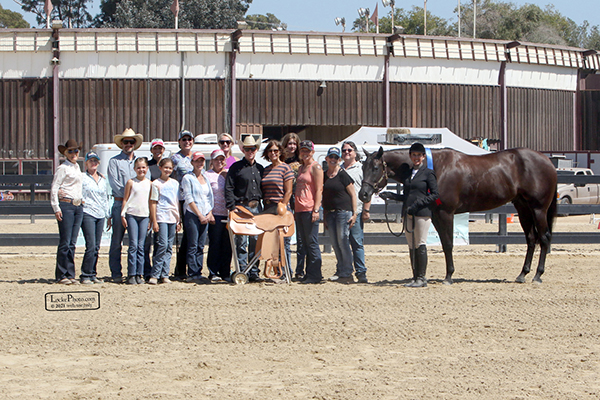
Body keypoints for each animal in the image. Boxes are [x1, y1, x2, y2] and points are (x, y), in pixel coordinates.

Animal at [356, 148, 556, 284]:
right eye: (363, 166)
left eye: (375, 167)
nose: (363, 194)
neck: (436, 168)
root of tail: (547, 161)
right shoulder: (436, 215)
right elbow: (441, 244)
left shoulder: (446, 213)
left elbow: (448, 244)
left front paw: (449, 276)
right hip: (523, 208)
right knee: (531, 239)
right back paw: (522, 274)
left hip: (538, 209)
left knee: (544, 238)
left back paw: (538, 275)